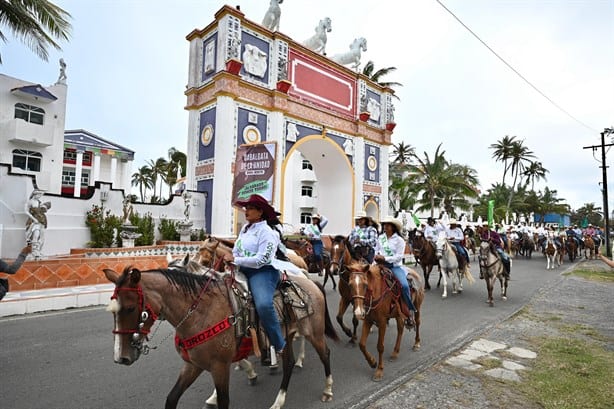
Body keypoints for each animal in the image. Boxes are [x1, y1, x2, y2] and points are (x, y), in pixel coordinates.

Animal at [103, 264, 340, 408]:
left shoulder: (219, 366)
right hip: (286, 335)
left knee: (326, 354)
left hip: (313, 332)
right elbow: (171, 398)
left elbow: (225, 400)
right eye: (113, 311)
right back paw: (278, 401)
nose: (121, 357)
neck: (200, 313)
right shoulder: (193, 364)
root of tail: (310, 283)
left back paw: (328, 390)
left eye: (131, 308)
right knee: (289, 362)